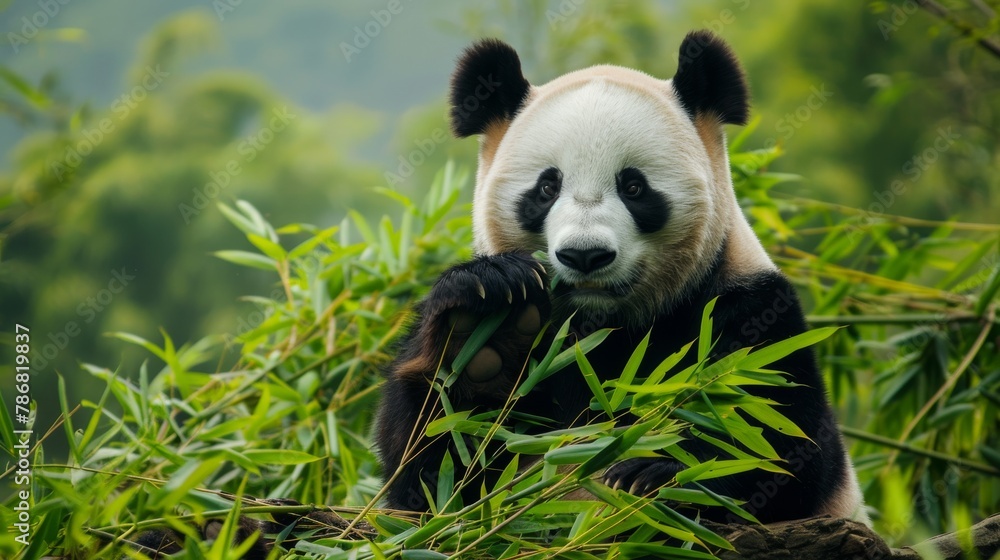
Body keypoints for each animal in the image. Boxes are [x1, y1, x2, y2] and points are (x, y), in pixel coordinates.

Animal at [376, 31, 868, 524]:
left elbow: (778, 446)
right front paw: (484, 329)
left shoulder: (752, 309)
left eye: (634, 187)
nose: (585, 255)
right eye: (546, 187)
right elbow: (433, 480)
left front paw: (653, 474)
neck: (603, 322)